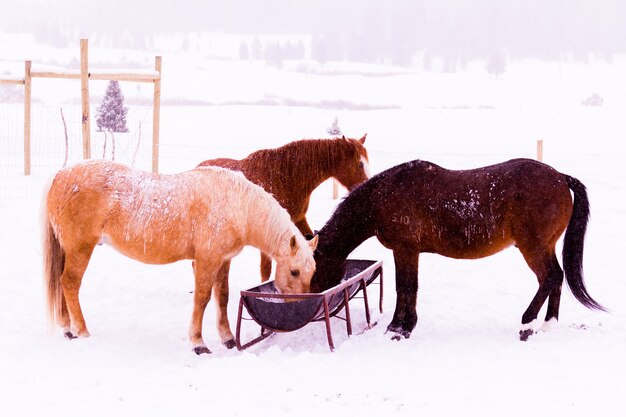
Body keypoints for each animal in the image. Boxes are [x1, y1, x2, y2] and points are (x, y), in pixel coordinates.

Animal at [43, 161, 316, 352]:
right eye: (294, 272)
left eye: (311, 272)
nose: (300, 309)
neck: (237, 205)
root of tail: (61, 175)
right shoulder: (207, 261)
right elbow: (202, 299)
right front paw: (198, 343)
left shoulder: (224, 261)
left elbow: (222, 298)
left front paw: (227, 338)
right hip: (80, 249)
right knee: (70, 283)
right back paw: (82, 331)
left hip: (70, 251)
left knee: (62, 284)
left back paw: (68, 329)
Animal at [312, 158, 604, 340]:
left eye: (313, 266)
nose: (314, 295)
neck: (385, 195)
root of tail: (560, 178)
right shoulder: (408, 252)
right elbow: (407, 287)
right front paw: (402, 326)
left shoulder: (405, 250)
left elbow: (406, 287)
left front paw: (399, 328)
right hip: (544, 247)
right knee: (556, 278)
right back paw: (546, 324)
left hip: (533, 247)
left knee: (550, 277)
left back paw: (527, 322)